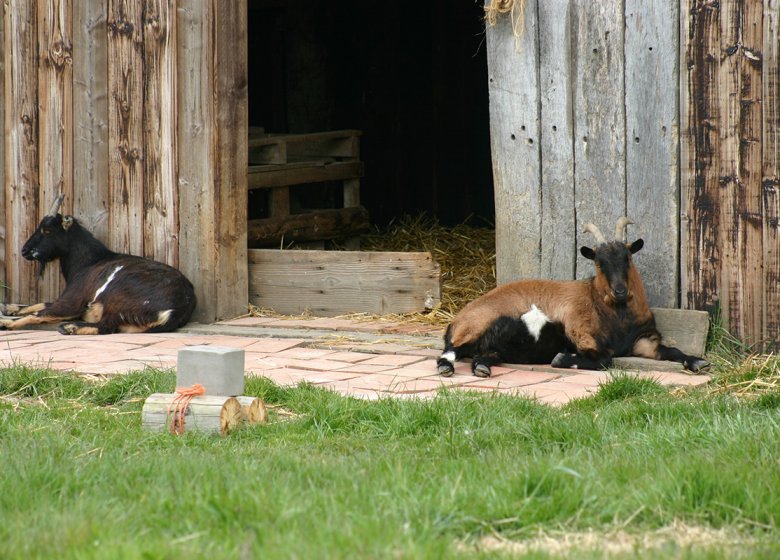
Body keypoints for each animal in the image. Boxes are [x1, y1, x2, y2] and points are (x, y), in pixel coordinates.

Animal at [0, 197, 198, 334]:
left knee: (106, 326)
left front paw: (5, 321)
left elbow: (40, 312)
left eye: (47, 230)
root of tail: (176, 308)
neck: (89, 262)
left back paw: (68, 327)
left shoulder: (72, 301)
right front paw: (8, 308)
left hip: (115, 297)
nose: (25, 250)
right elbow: (41, 303)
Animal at [436, 218, 708, 376]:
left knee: (480, 356)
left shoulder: (643, 340)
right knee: (450, 350)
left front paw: (697, 362)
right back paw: (446, 367)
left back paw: (481, 367)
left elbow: (673, 350)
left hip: (493, 345)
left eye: (628, 258)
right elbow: (605, 359)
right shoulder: (581, 331)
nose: (620, 290)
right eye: (599, 263)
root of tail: (456, 319)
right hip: (474, 326)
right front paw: (561, 358)